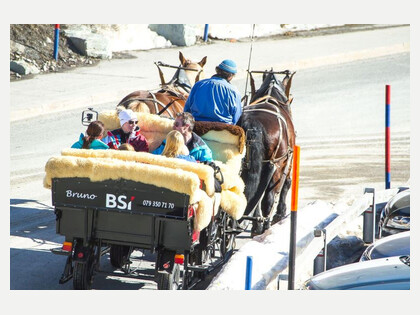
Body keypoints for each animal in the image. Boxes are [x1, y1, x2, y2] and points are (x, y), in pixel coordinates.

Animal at [238, 69, 296, 237]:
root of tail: (252, 123)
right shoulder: (287, 159)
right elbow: (286, 183)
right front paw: (280, 213)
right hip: (276, 163)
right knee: (268, 199)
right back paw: (265, 226)